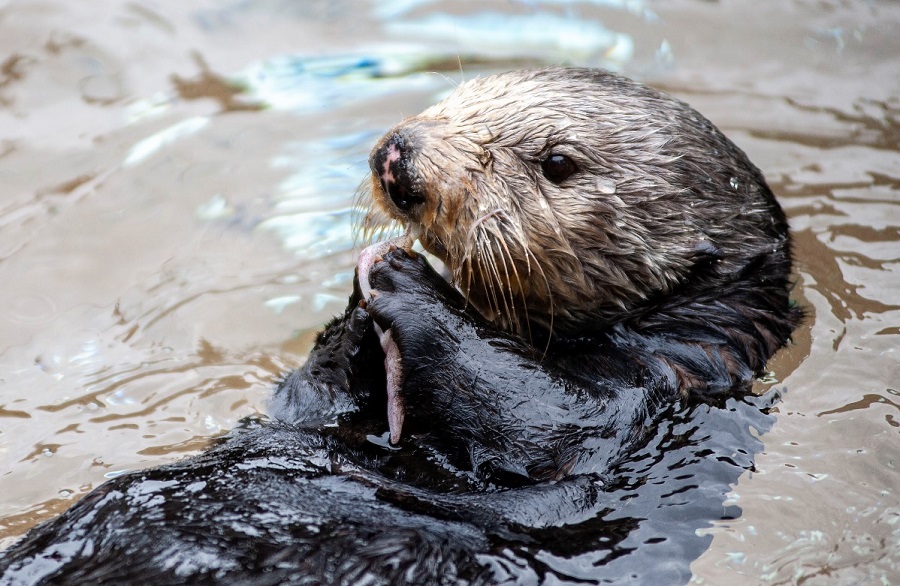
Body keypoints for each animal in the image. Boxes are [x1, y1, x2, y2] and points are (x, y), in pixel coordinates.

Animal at [0, 68, 800, 584]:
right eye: (459, 96)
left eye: (556, 162)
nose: (398, 152)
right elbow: (307, 401)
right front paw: (358, 319)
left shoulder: (656, 390)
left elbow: (544, 419)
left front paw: (405, 280)